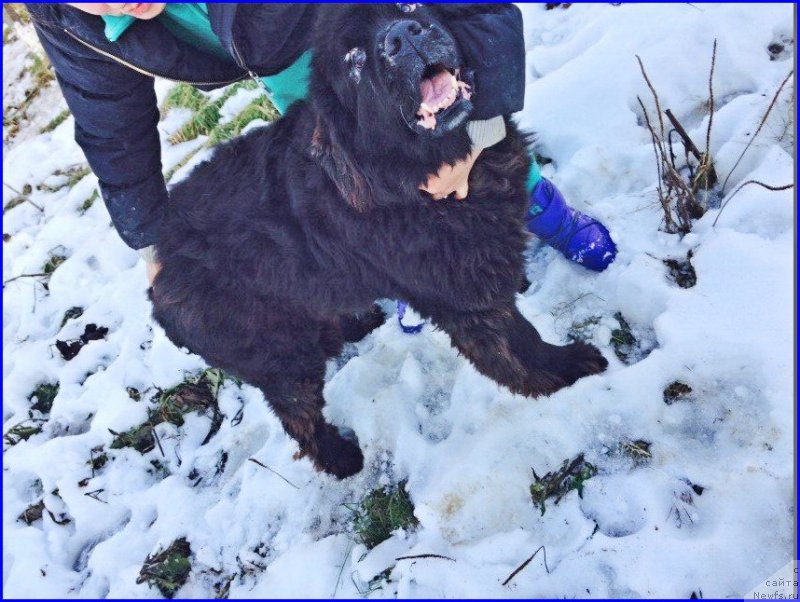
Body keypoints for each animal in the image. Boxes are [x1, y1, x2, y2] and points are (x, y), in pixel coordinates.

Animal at [152, 2, 608, 476]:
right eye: (353, 61)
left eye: (409, 6)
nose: (401, 37)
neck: (413, 173)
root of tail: (160, 277)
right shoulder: (465, 299)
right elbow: (516, 345)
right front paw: (563, 369)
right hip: (281, 357)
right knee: (297, 417)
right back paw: (340, 458)